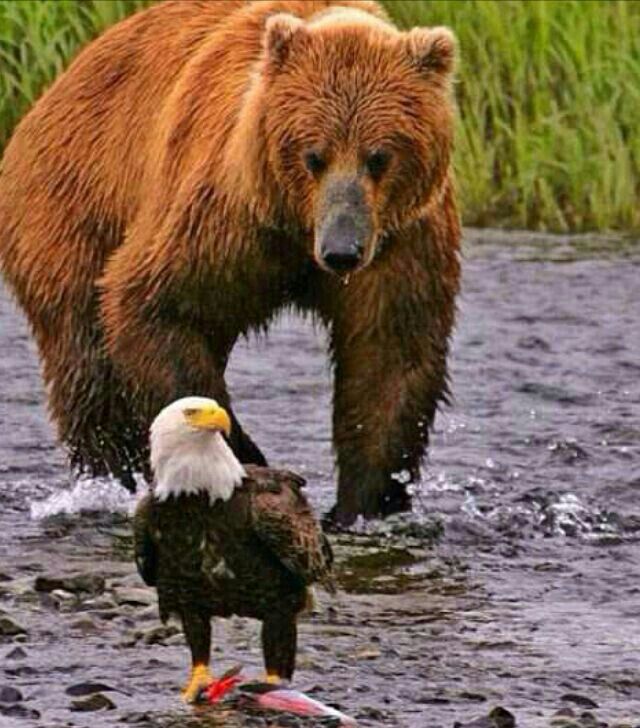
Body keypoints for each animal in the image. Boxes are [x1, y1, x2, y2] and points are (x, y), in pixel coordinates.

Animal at [0, 0, 460, 525]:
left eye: (379, 156)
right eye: (314, 155)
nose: (341, 250)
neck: (295, 227)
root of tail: (52, 90)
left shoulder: (400, 240)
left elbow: (390, 353)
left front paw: (364, 502)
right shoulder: (226, 213)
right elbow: (157, 306)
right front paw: (241, 455)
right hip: (68, 209)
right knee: (88, 363)